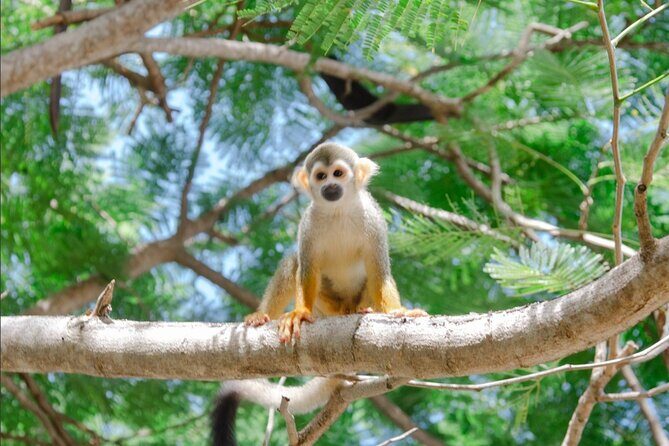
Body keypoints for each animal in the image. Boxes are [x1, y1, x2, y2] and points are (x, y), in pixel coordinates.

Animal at [211, 142, 426, 445]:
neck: (338, 211)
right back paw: (263, 315)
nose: (331, 187)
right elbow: (307, 269)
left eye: (338, 173)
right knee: (293, 263)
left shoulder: (373, 218)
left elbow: (379, 271)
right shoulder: (308, 224)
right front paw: (299, 314)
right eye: (321, 176)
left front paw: (399, 311)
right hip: (327, 307)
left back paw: (365, 310)